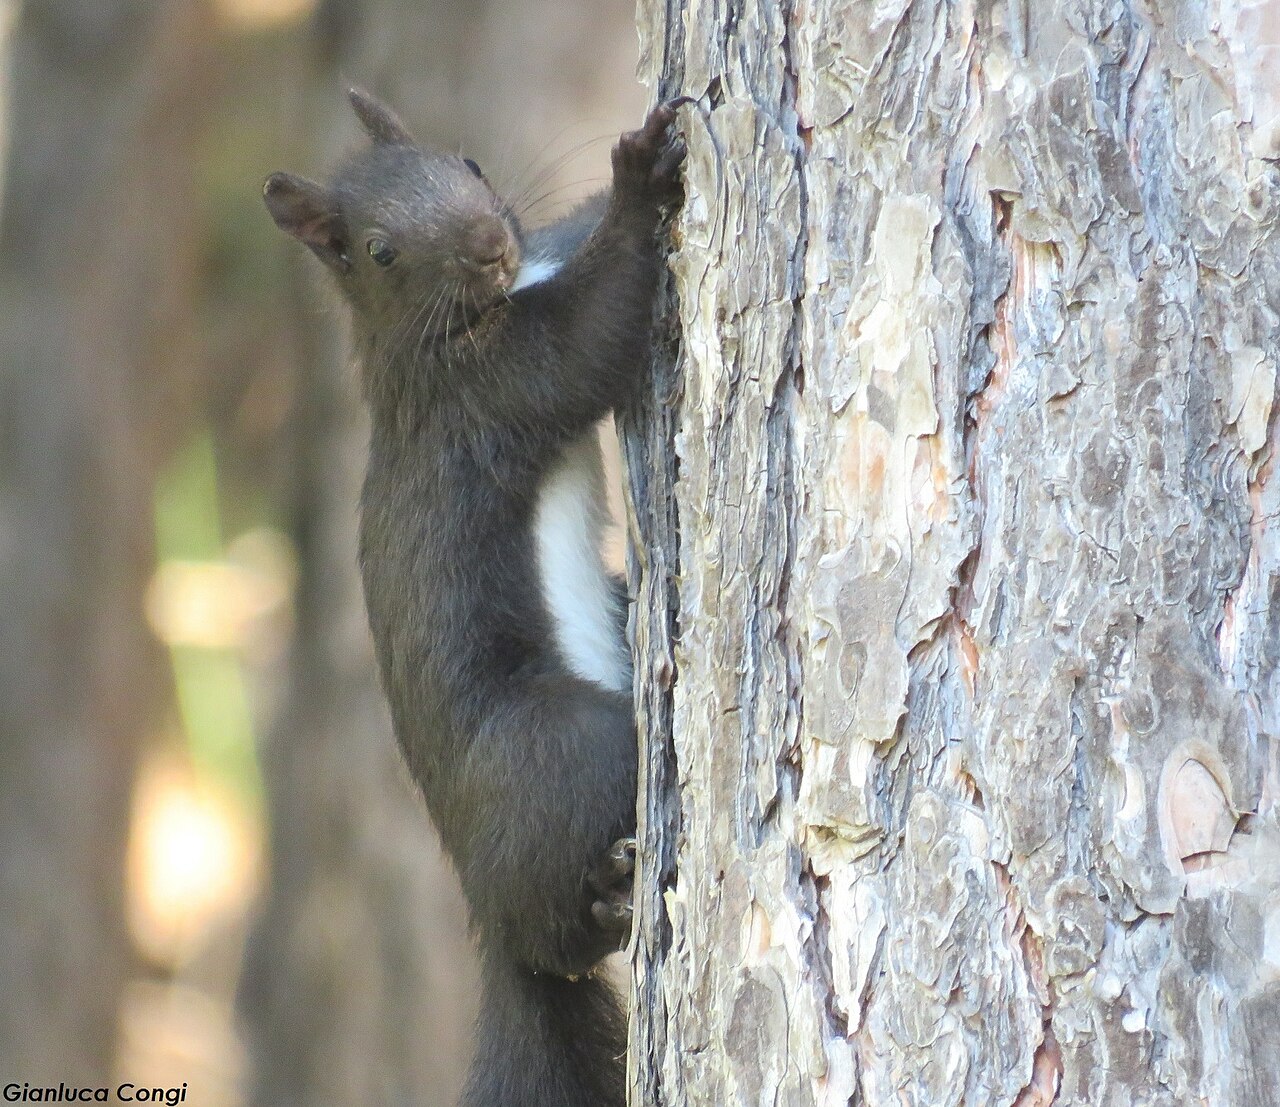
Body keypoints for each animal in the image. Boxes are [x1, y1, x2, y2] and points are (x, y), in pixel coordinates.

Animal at [264, 89, 685, 1107]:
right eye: (379, 250)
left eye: (471, 164)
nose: (492, 242)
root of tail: (480, 901)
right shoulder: (485, 390)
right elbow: (585, 339)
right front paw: (637, 181)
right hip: (569, 744)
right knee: (556, 932)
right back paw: (611, 897)